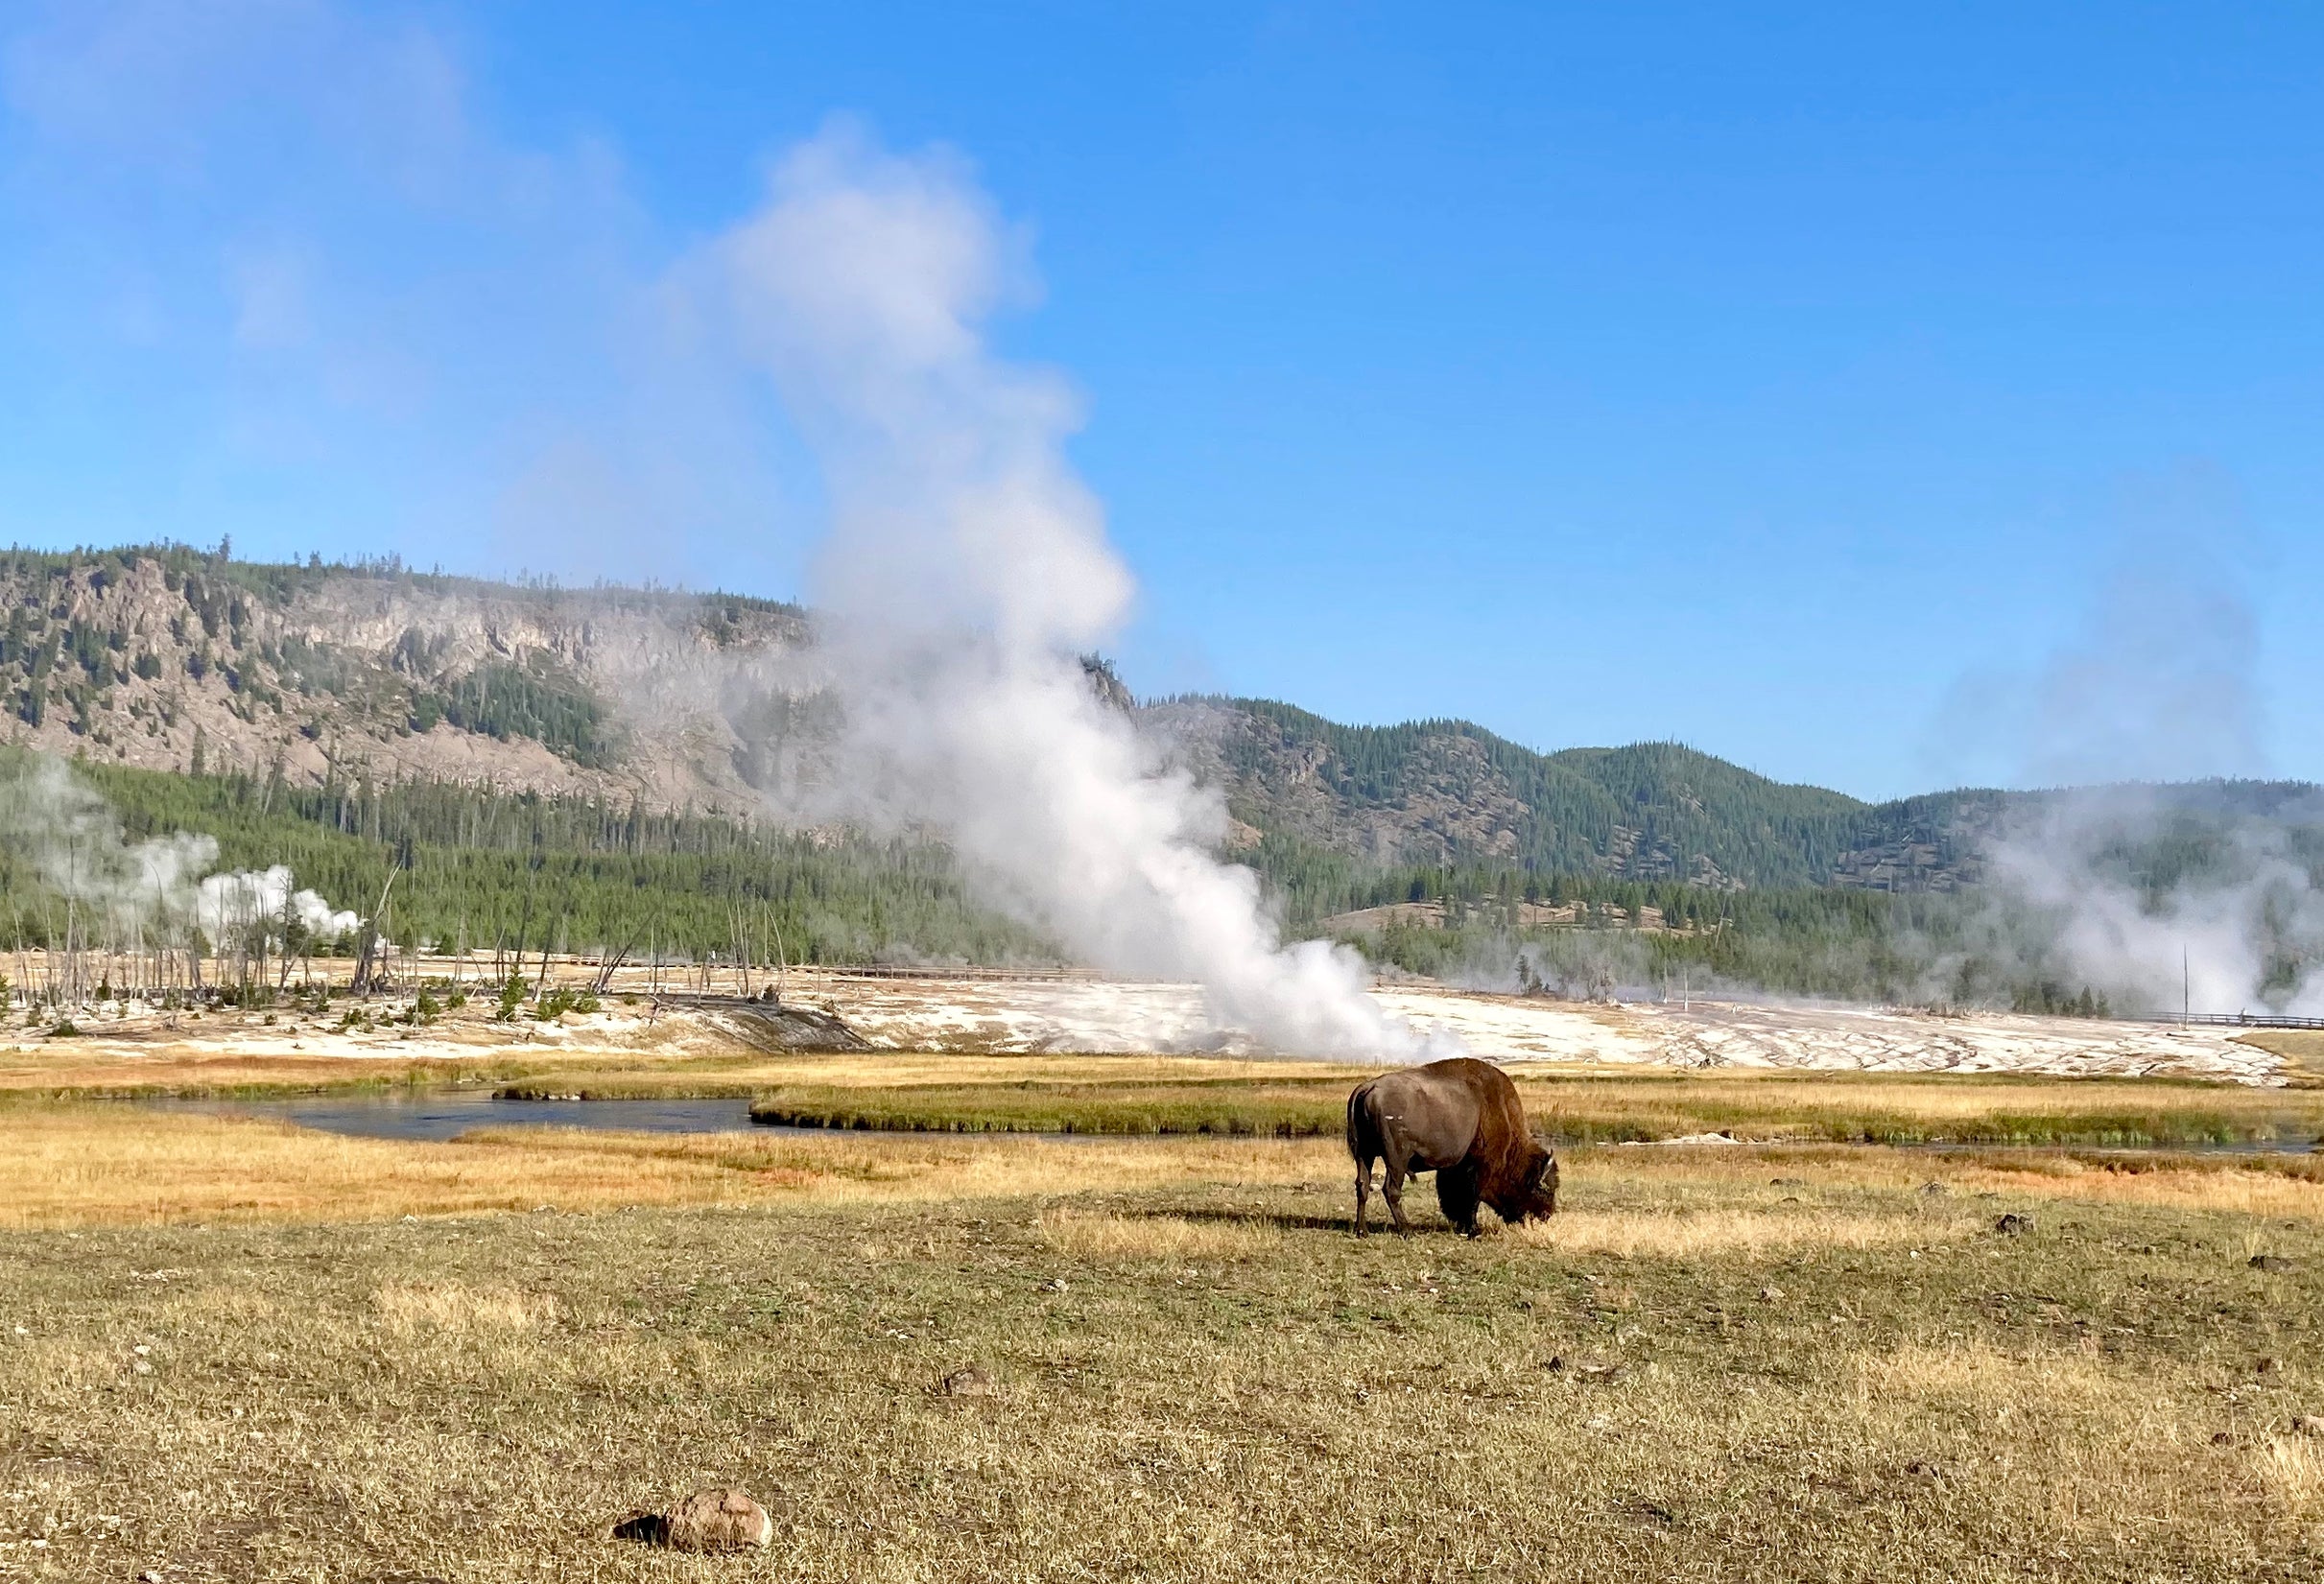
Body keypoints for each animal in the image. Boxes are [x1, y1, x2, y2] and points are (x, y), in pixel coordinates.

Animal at [1346, 1056, 1558, 1236]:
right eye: (1543, 1189)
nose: (1548, 1214)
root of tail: (1369, 1087)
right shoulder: (1480, 1167)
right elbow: (1473, 1197)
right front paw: (1474, 1230)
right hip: (1396, 1158)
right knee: (1391, 1190)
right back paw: (1406, 1230)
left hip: (1364, 1154)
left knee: (1362, 1185)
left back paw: (1361, 1231)